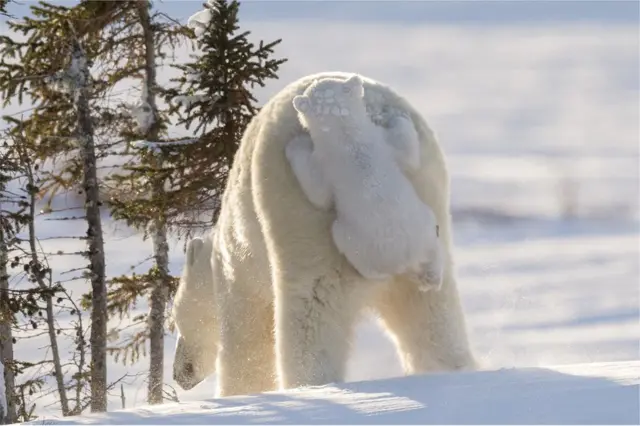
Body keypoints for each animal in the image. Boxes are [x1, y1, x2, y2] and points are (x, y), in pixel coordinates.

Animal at [285, 75, 444, 291]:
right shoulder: (379, 144)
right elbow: (408, 153)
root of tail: (405, 259)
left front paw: (295, 144)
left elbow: (319, 195)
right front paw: (399, 116)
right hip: (418, 230)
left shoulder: (330, 161)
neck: (348, 137)